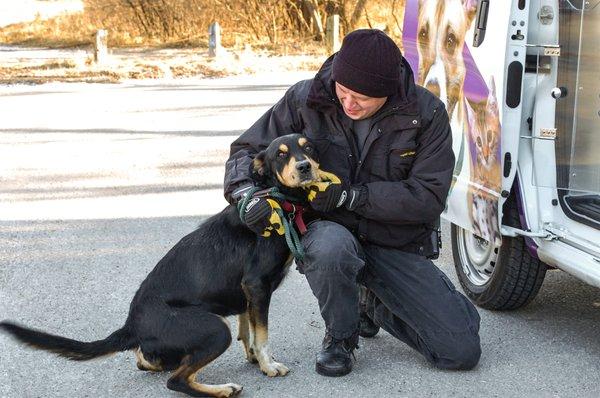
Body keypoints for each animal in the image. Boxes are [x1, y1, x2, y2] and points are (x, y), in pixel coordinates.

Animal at [0, 134, 324, 398]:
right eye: (281, 154)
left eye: (308, 148)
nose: (305, 166)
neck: (275, 201)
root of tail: (131, 325)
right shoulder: (256, 286)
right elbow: (262, 334)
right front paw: (268, 366)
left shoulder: (246, 292)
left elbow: (250, 330)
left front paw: (255, 358)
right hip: (215, 329)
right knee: (176, 381)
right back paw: (222, 389)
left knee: (150, 362)